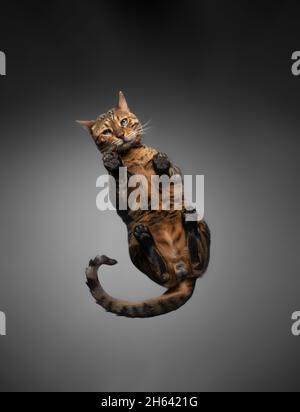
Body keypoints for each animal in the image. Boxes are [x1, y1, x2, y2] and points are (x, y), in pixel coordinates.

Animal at [78, 92, 210, 318]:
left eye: (123, 121)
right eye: (107, 131)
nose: (121, 135)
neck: (132, 155)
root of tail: (184, 274)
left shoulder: (177, 179)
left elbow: (169, 172)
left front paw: (161, 162)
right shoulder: (121, 200)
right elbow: (120, 179)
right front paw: (113, 163)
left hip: (201, 222)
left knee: (198, 261)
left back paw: (188, 222)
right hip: (132, 242)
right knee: (164, 273)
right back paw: (146, 237)